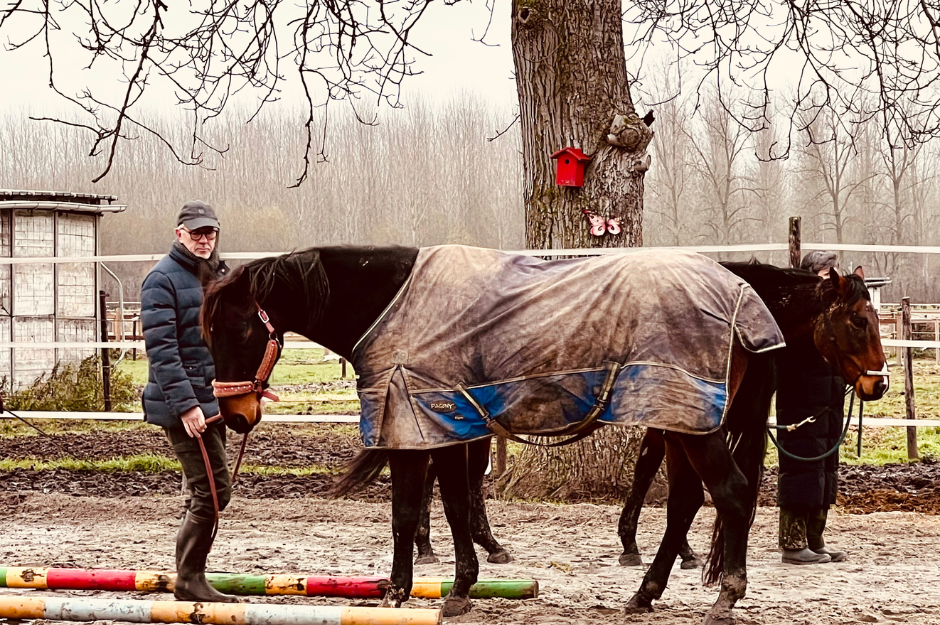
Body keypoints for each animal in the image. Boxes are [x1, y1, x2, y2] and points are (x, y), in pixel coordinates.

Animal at [202, 247, 884, 624]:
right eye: (857, 319)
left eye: (234, 330)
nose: (232, 415)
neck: (396, 302)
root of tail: (738, 294)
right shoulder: (438, 426)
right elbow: (435, 507)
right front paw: (433, 589)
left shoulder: (428, 425)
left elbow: (426, 509)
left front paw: (426, 591)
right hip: (684, 422)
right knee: (695, 501)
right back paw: (646, 592)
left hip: (690, 422)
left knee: (732, 496)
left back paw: (722, 598)